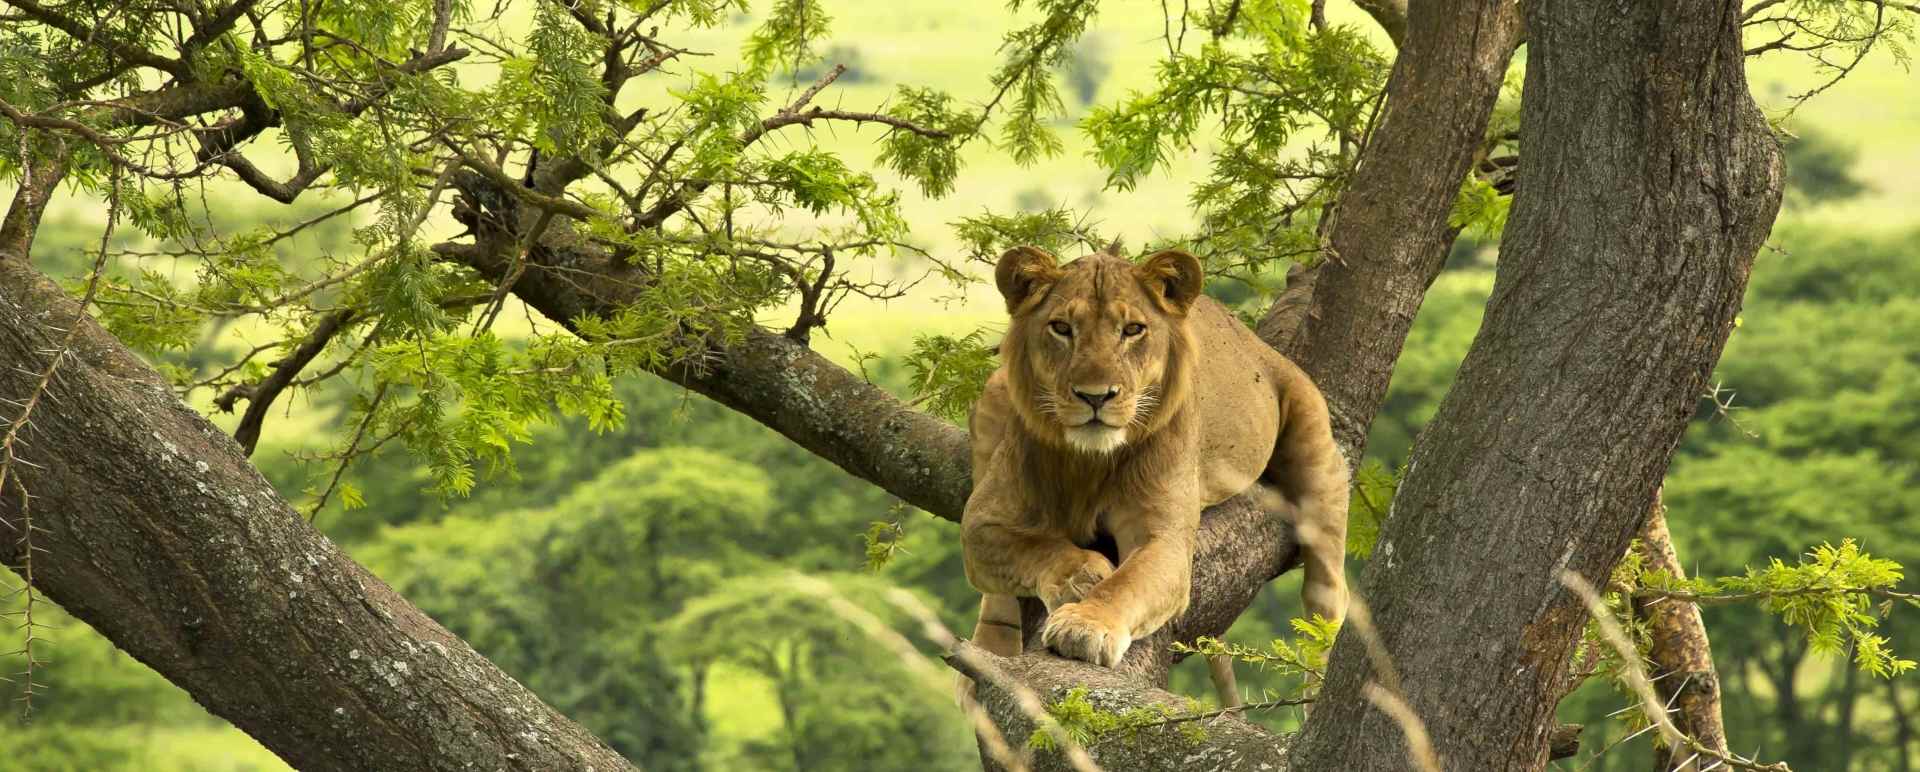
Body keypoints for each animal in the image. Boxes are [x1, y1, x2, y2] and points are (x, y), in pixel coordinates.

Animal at [960, 245, 1350, 683]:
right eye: (1061, 328)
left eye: (1133, 330)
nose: (1095, 396)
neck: (1089, 461)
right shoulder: (982, 521)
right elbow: (1035, 547)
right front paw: (1084, 574)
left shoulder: (1164, 539)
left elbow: (1127, 583)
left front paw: (1086, 625)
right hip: (995, 392)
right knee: (996, 603)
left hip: (1314, 444)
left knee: (1327, 586)